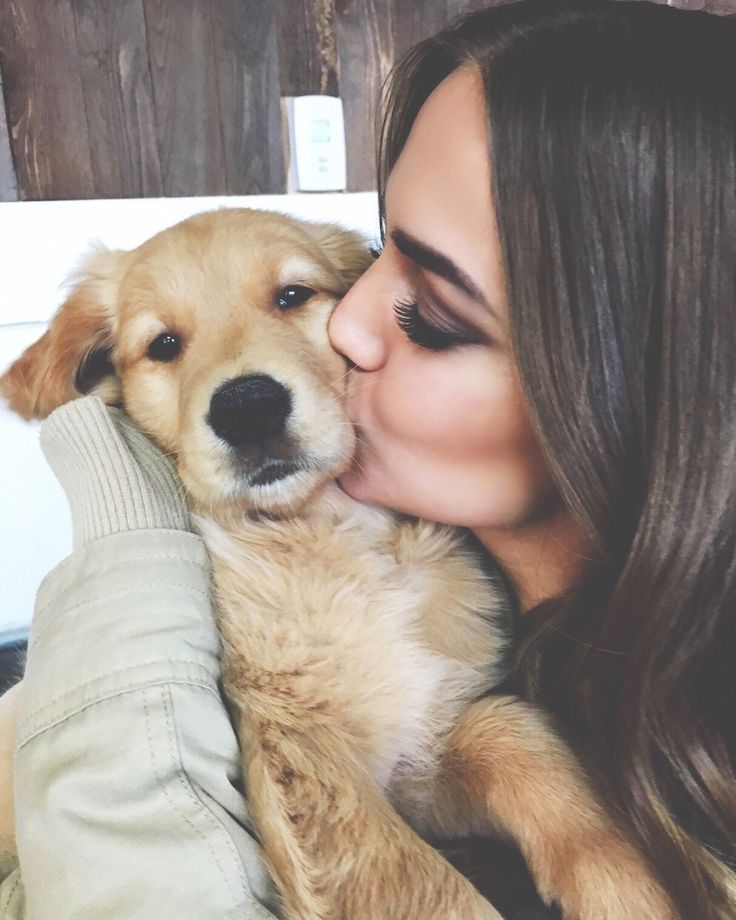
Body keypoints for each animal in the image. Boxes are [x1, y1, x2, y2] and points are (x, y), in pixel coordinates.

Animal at [0, 210, 672, 920]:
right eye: (163, 344)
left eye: (293, 296)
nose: (247, 406)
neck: (332, 535)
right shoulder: (300, 758)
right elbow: (426, 887)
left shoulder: (418, 753)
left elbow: (513, 734)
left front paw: (628, 886)